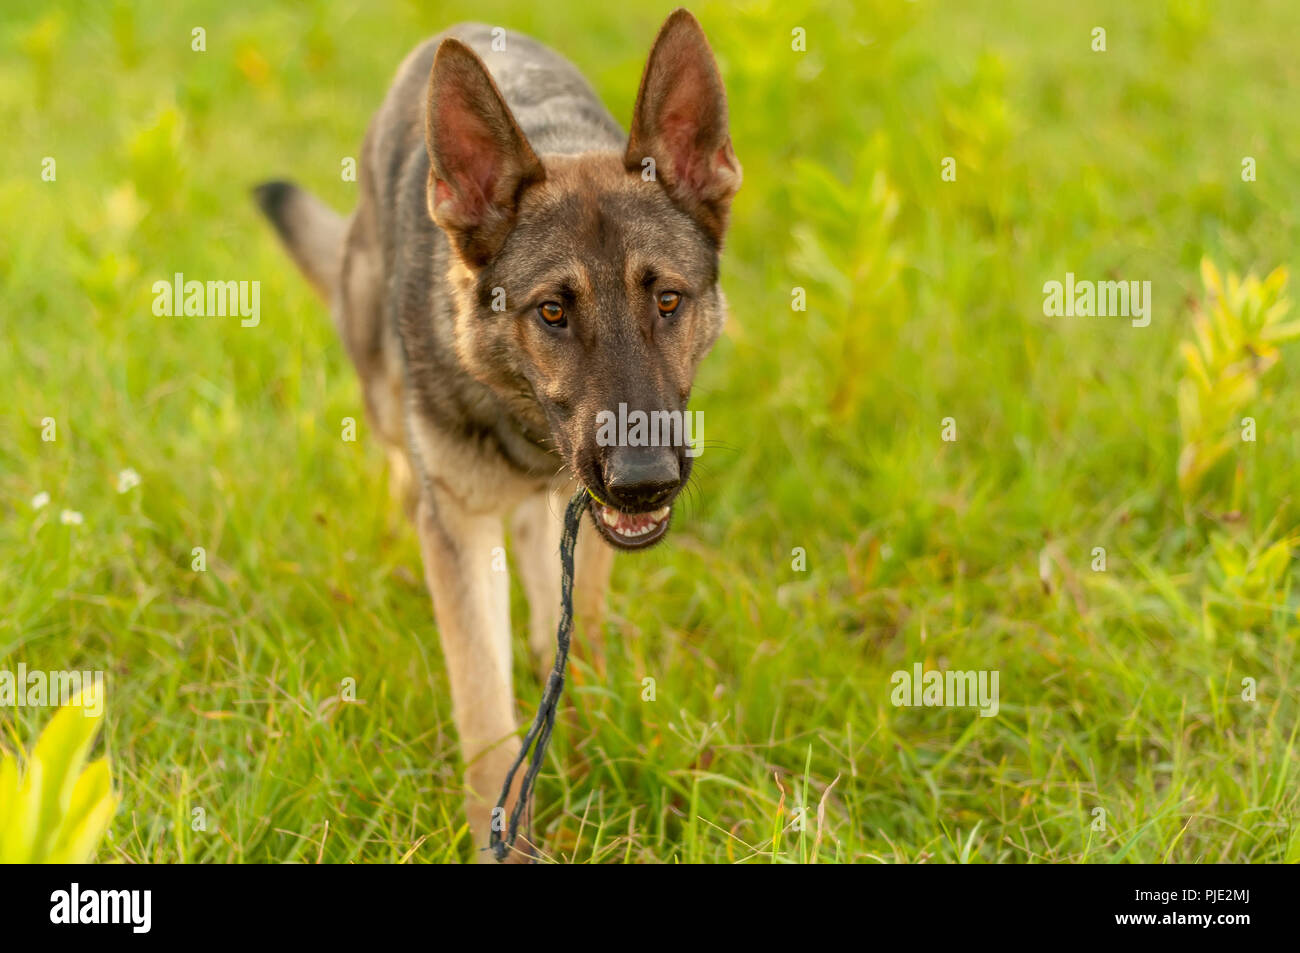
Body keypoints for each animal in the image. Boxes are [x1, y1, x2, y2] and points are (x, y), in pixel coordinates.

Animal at [253, 7, 743, 863]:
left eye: (668, 301)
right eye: (551, 312)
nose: (644, 479)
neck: (527, 430)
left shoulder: (583, 515)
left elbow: (577, 641)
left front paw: (592, 741)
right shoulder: (463, 522)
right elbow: (484, 704)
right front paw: (502, 833)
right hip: (383, 387)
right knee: (399, 461)